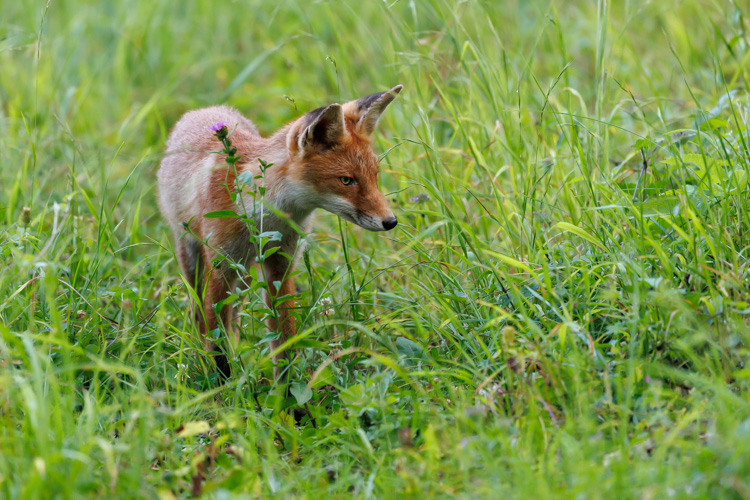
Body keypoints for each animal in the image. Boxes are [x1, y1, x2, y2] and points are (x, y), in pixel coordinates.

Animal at [157, 84, 406, 378]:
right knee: (200, 314)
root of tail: (202, 111)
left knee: (235, 316)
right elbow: (216, 340)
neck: (266, 219)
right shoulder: (220, 266)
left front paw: (287, 386)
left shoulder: (281, 265)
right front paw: (222, 383)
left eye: (374, 176)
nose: (390, 221)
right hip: (195, 257)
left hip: (244, 274)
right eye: (346, 180)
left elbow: (284, 337)